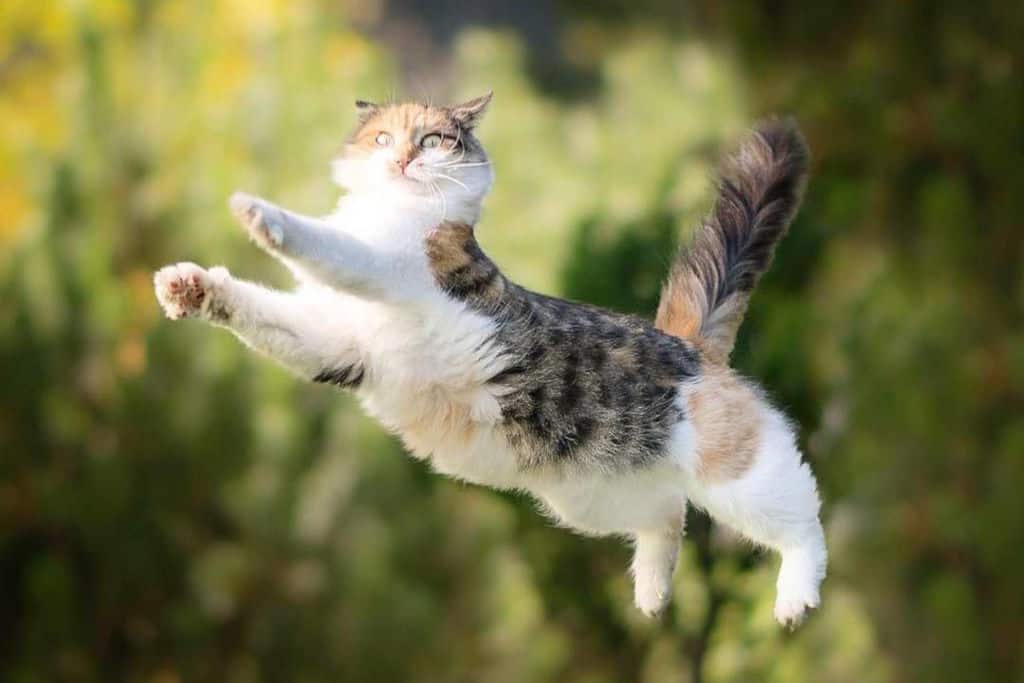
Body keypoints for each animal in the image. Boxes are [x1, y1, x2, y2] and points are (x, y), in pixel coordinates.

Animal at [151, 93, 823, 626]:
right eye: (384, 138)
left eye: (432, 140)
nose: (402, 160)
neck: (396, 214)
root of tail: (688, 345)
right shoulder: (332, 342)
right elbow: (256, 307)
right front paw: (189, 286)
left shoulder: (386, 269)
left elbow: (324, 242)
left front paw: (258, 214)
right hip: (591, 498)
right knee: (667, 515)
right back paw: (653, 596)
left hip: (737, 477)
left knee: (803, 520)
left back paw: (795, 599)